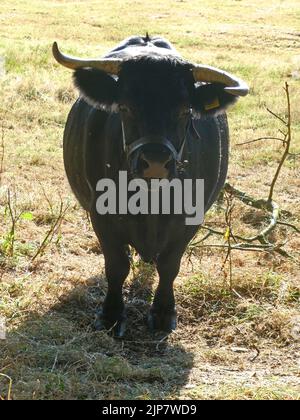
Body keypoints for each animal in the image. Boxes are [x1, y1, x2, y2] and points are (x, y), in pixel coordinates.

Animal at [52, 34, 248, 336]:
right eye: (124, 107)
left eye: (185, 110)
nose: (155, 163)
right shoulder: (102, 217)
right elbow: (116, 266)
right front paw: (111, 314)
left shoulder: (190, 221)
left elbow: (169, 266)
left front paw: (164, 312)